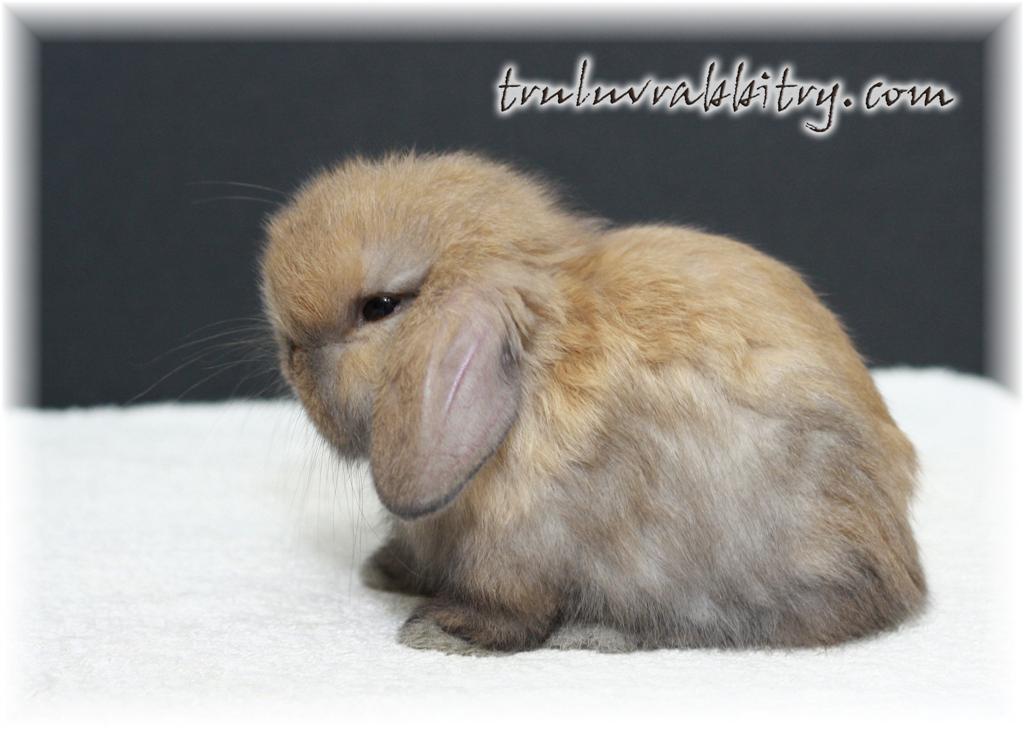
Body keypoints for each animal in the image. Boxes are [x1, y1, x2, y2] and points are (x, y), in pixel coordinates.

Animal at [260, 150, 926, 652]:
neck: (535, 375)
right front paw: (386, 569)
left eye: (380, 307)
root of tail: (899, 574)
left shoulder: (517, 549)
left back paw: (593, 634)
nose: (289, 354)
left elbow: (509, 608)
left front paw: (441, 632)